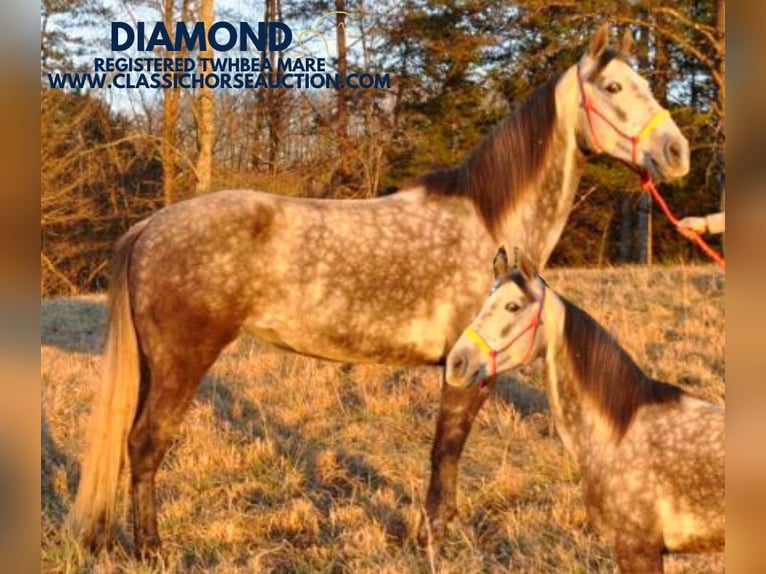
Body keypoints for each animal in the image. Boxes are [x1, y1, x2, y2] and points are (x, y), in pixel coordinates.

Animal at [67, 23, 688, 560]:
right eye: (613, 87)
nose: (676, 152)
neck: (487, 223)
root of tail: (151, 226)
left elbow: (447, 455)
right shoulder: (467, 371)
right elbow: (445, 451)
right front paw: (432, 538)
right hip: (181, 362)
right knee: (146, 444)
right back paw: (151, 548)